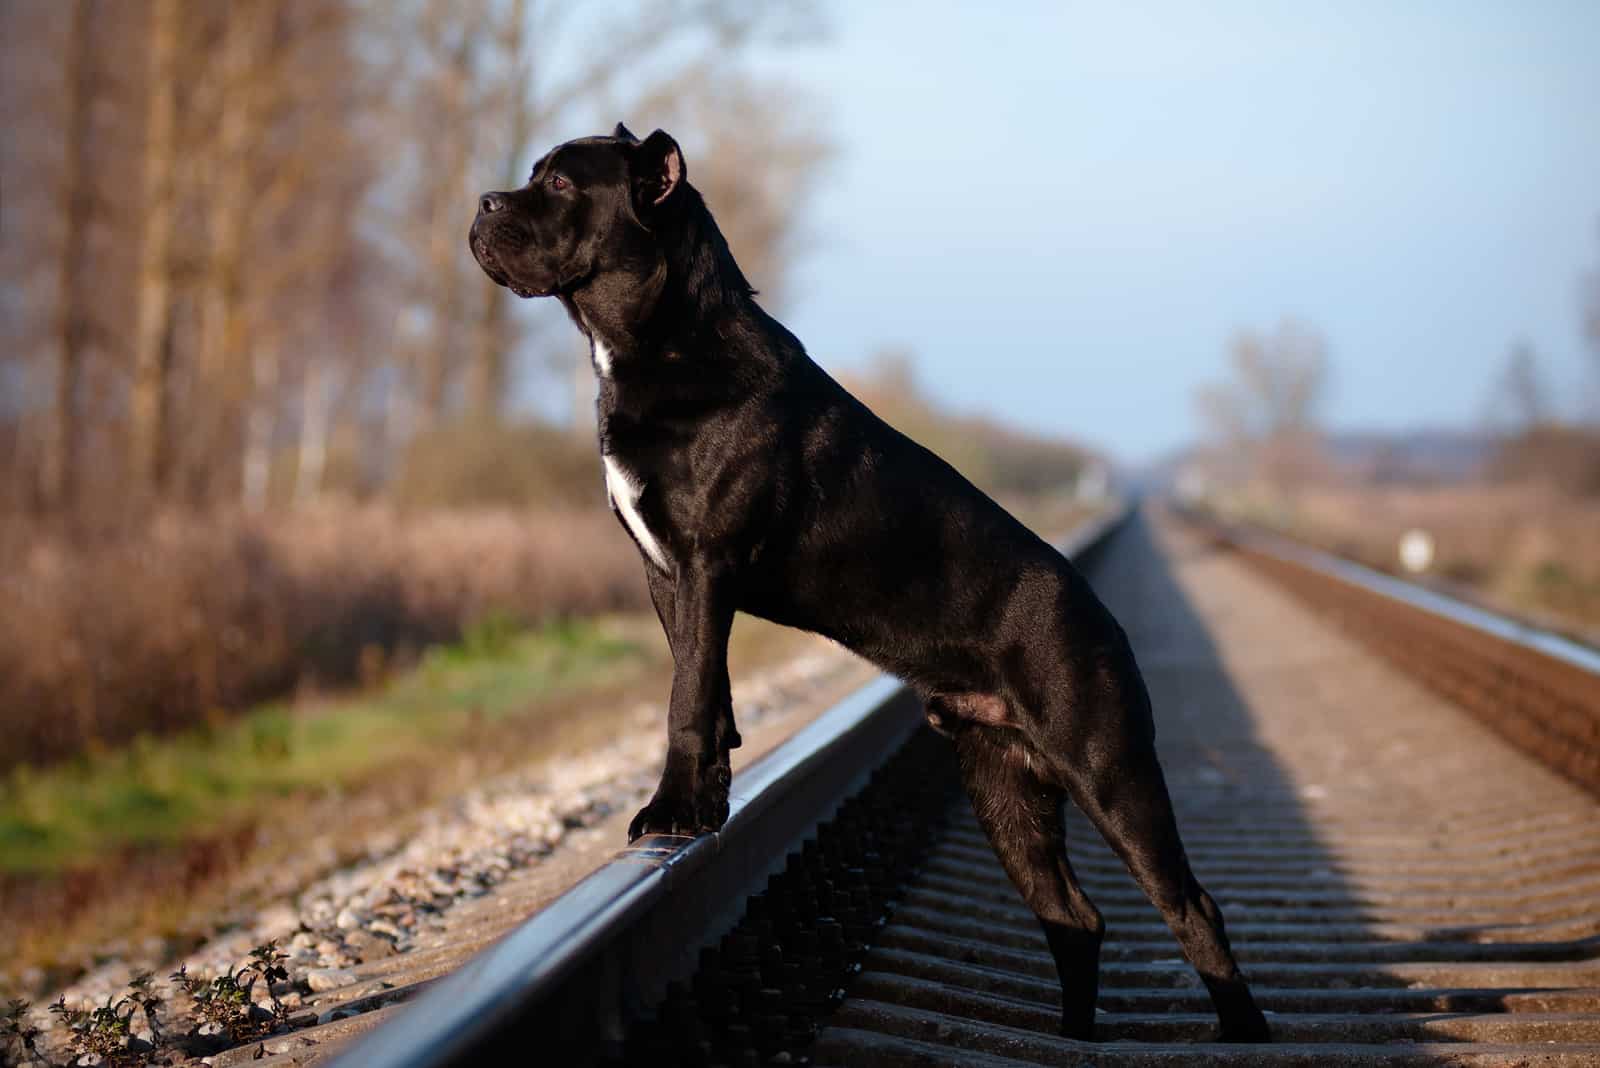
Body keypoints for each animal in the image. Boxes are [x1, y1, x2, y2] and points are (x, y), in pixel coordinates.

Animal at [467, 125, 1267, 1042]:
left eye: (562, 183)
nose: (483, 201)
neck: (664, 338)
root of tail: (1105, 619)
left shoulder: (704, 562)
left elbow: (685, 700)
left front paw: (669, 813)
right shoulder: (667, 573)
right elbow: (703, 685)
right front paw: (707, 804)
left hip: (1110, 770)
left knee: (1191, 908)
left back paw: (1242, 1031)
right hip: (1003, 789)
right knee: (1073, 917)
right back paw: (1071, 1034)